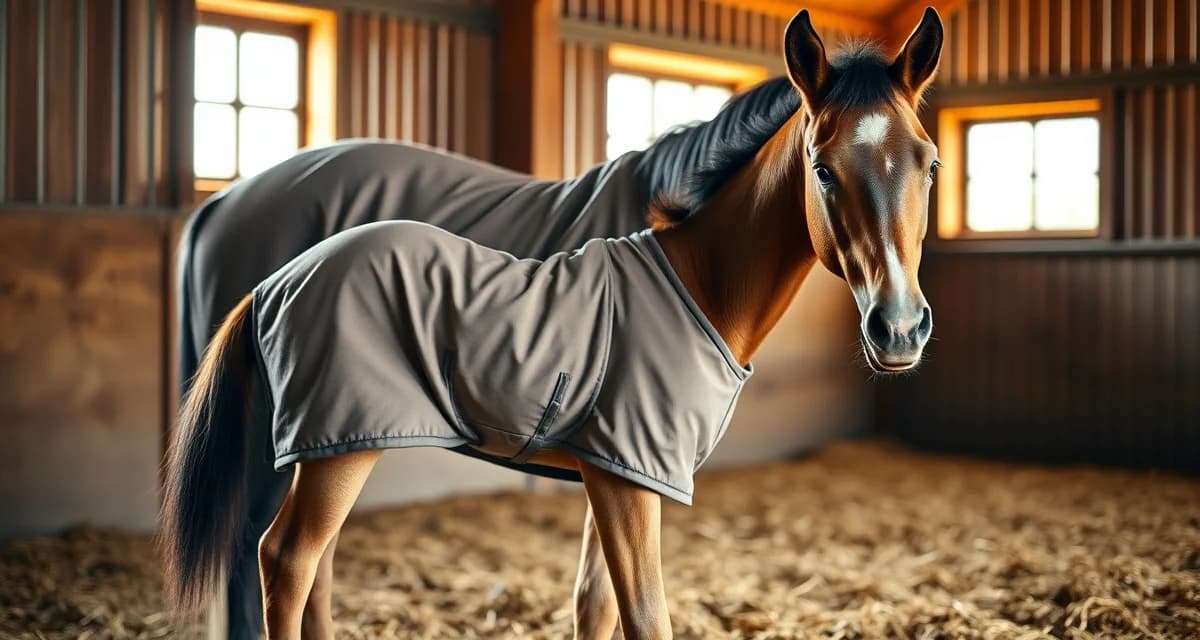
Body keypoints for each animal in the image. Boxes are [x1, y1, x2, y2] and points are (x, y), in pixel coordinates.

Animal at [164, 8, 943, 639]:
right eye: (822, 168)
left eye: (929, 164)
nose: (899, 329)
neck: (691, 279)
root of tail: (273, 277)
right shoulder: (629, 478)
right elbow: (644, 614)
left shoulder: (618, 469)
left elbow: (595, 605)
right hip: (323, 443)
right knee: (282, 560)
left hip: (327, 445)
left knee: (306, 565)